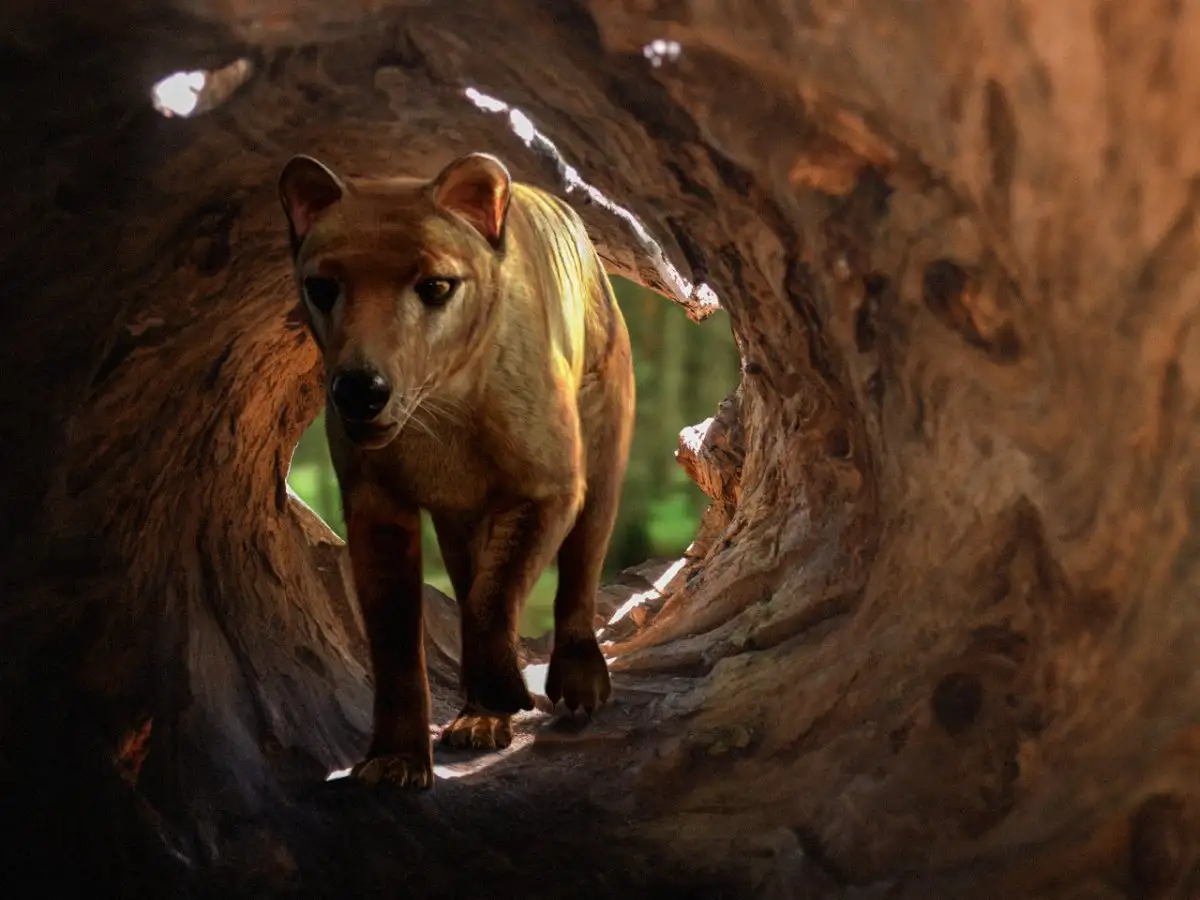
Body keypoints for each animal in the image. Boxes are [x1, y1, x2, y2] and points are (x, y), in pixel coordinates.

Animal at [279, 151, 638, 787]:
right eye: (322, 288)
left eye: (436, 287)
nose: (360, 389)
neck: (438, 416)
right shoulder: (377, 508)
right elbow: (397, 636)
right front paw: (396, 758)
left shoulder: (547, 488)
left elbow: (494, 598)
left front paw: (504, 687)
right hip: (460, 521)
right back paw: (479, 720)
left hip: (600, 460)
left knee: (579, 569)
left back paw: (577, 678)